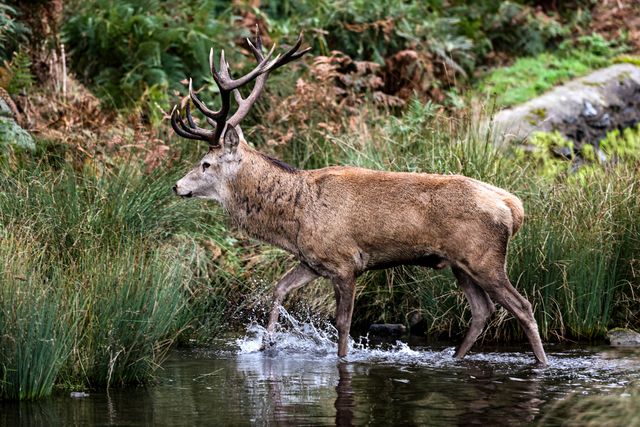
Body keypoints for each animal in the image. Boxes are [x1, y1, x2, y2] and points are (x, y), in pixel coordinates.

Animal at [170, 30, 548, 366]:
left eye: (205, 163)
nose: (176, 186)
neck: (293, 218)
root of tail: (513, 206)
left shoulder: (344, 261)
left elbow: (343, 323)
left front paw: (340, 358)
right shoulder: (313, 260)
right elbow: (278, 289)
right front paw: (266, 345)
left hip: (484, 257)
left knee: (522, 306)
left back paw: (542, 363)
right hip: (459, 263)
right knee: (483, 310)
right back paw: (455, 359)